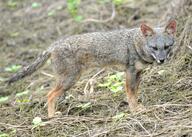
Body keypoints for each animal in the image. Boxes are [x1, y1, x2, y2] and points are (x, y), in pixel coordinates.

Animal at [6, 19, 176, 117]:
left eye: (167, 47)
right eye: (154, 48)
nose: (161, 60)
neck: (136, 44)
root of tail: (54, 44)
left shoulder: (138, 73)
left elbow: (135, 93)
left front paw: (137, 106)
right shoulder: (130, 72)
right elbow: (130, 94)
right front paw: (134, 111)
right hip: (70, 80)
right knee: (49, 95)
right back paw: (52, 117)